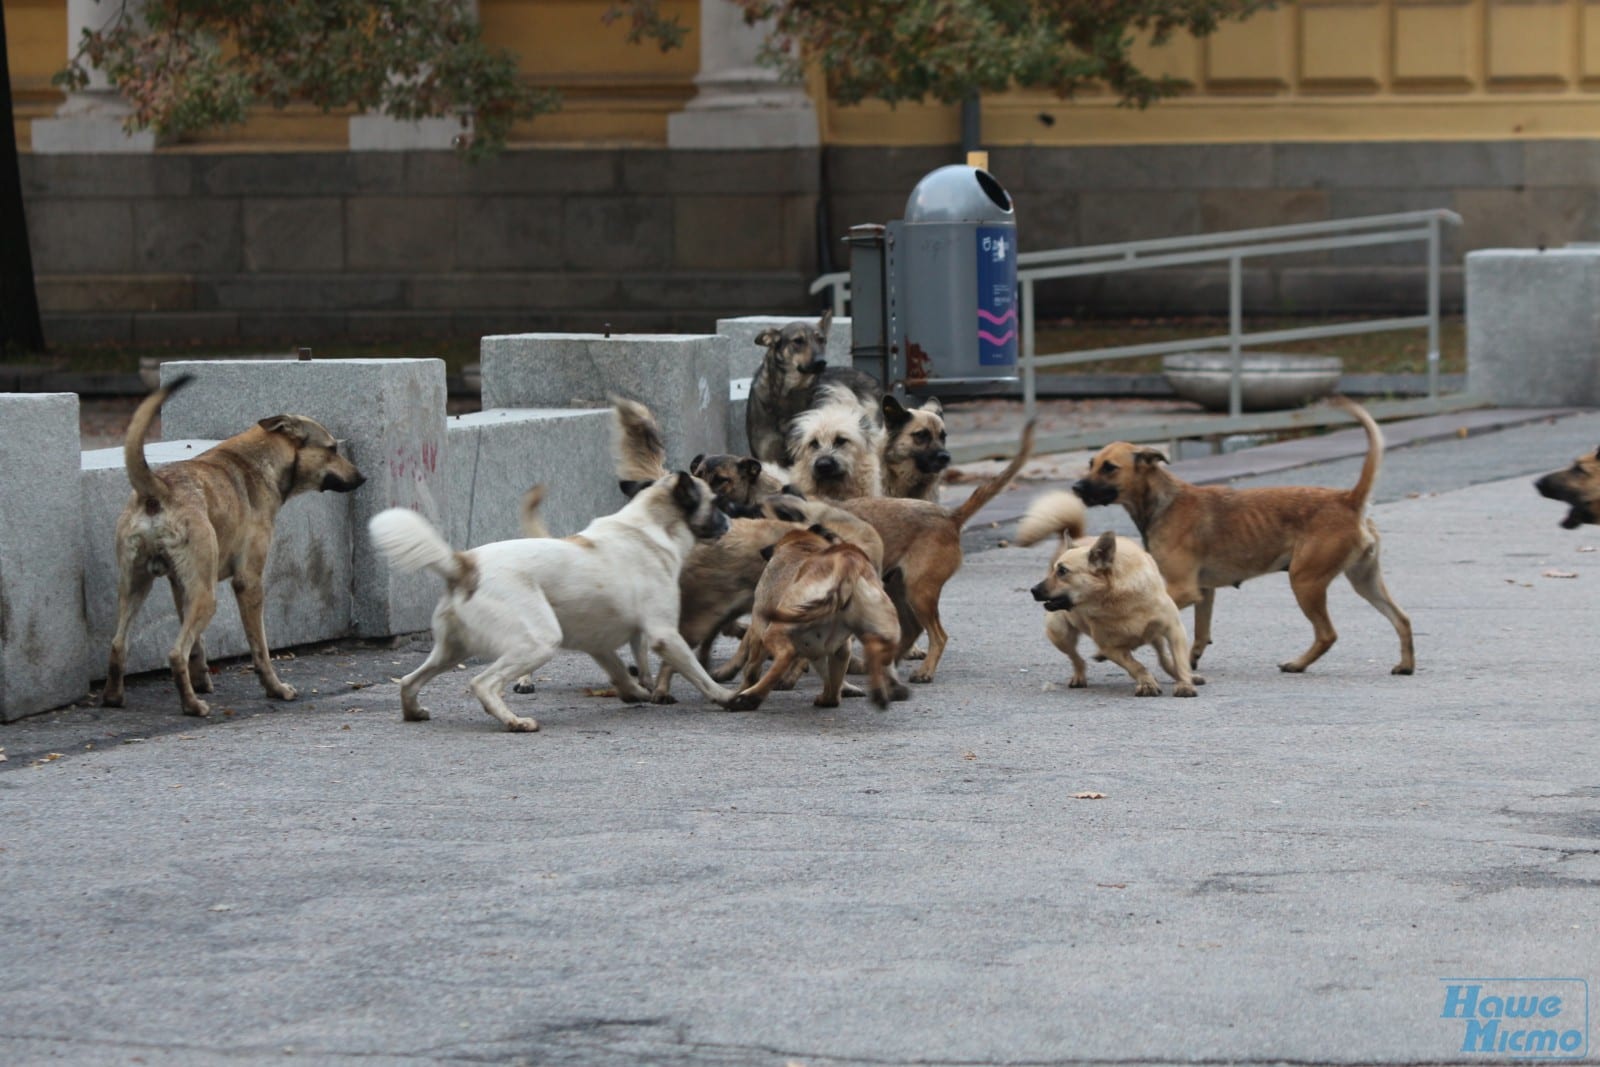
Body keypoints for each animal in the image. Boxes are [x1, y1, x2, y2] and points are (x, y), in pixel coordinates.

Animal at [103, 374, 368, 716]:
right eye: (332, 448)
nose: (362, 477)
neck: (259, 461)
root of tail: (158, 490)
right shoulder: (249, 582)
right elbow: (261, 649)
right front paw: (276, 689)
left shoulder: (180, 585)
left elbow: (198, 645)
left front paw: (202, 679)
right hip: (206, 597)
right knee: (175, 652)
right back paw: (192, 705)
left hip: (137, 586)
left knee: (119, 644)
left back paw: (114, 696)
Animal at [832, 415, 1043, 684]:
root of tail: (950, 517)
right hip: (899, 589)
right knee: (912, 630)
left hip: (918, 591)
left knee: (937, 635)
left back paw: (923, 671)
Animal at [1017, 489, 1196, 697]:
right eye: (1054, 570)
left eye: (1062, 571)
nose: (1033, 590)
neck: (1117, 599)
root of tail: (1078, 539)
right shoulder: (1111, 648)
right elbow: (1136, 666)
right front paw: (1146, 683)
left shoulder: (1174, 630)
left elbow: (1180, 661)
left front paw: (1184, 683)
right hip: (1059, 633)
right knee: (1077, 659)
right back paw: (1079, 676)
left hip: (1155, 634)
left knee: (1163, 657)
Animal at [1075, 391, 1414, 675]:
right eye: (1091, 463)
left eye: (1109, 467)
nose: (1075, 487)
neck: (1164, 500)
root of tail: (1348, 499)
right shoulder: (1203, 592)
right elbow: (1201, 631)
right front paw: (1192, 657)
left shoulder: (1182, 589)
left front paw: (1108, 649)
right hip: (1364, 580)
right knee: (1402, 619)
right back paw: (1406, 664)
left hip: (1305, 582)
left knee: (1327, 634)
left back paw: (1298, 664)